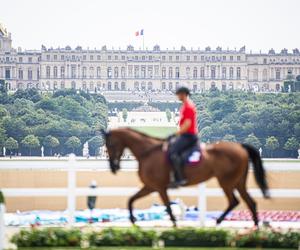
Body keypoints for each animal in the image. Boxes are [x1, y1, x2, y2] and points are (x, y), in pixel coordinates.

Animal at [102, 128, 270, 228]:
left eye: (110, 144)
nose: (113, 167)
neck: (148, 152)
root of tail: (240, 147)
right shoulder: (150, 187)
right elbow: (131, 200)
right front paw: (133, 220)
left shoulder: (158, 187)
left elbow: (168, 207)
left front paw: (175, 225)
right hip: (237, 182)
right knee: (250, 202)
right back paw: (254, 229)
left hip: (226, 181)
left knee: (234, 201)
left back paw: (219, 222)